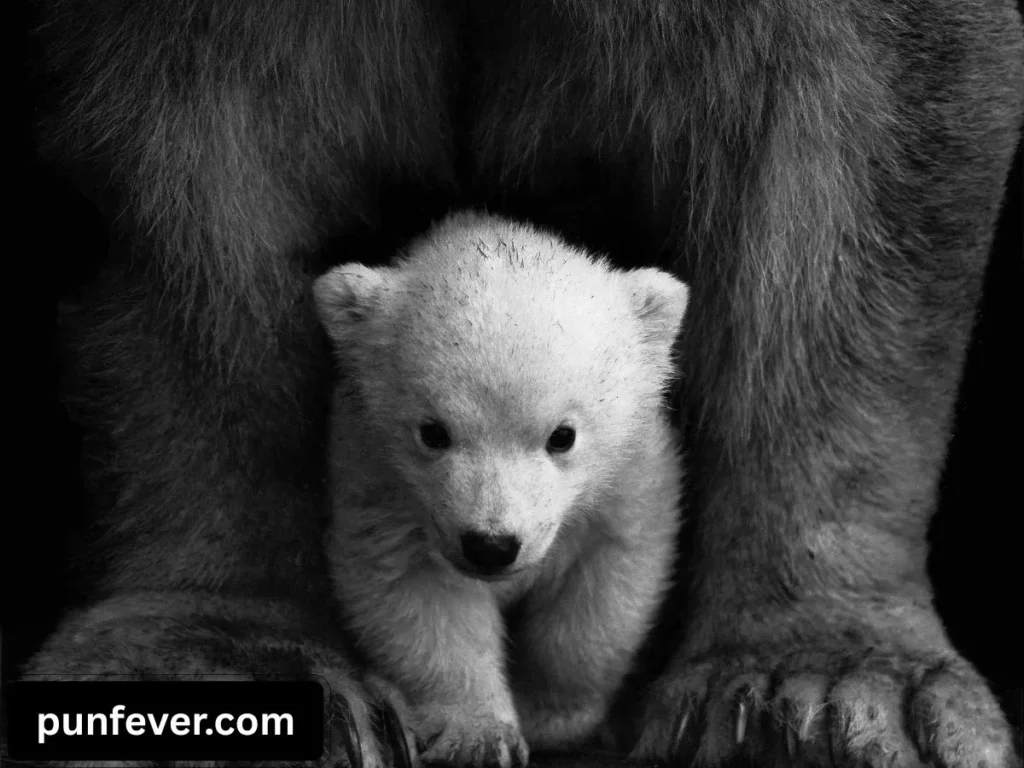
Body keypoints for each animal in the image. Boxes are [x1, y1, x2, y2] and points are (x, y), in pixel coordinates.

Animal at [312, 211, 686, 767]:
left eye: (563, 435)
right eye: (433, 432)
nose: (491, 546)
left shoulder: (630, 479)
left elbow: (603, 588)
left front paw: (551, 716)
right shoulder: (378, 482)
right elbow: (417, 593)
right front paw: (481, 736)